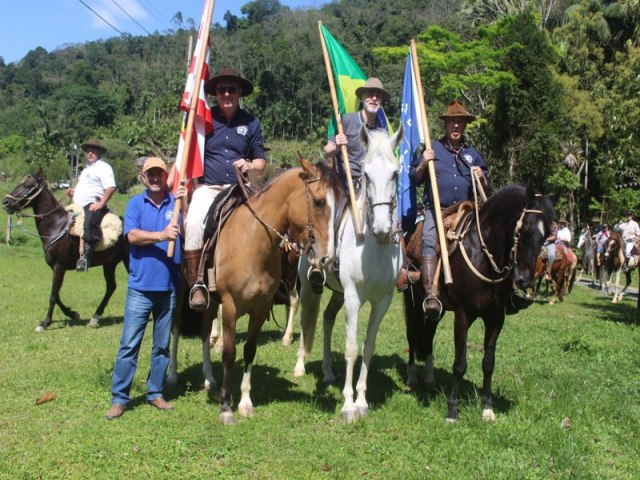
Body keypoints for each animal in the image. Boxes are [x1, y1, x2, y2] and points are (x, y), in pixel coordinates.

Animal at [2, 171, 129, 332]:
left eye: (28, 185)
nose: (6, 202)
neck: (56, 226)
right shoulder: (56, 268)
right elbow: (56, 294)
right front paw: (72, 313)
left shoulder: (59, 266)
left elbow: (53, 296)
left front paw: (45, 323)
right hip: (109, 264)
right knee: (111, 287)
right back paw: (95, 318)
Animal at [201, 158, 340, 424]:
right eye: (318, 202)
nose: (328, 258)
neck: (252, 241)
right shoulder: (229, 304)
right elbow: (229, 353)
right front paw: (225, 406)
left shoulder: (261, 307)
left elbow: (249, 351)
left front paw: (245, 402)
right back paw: (207, 378)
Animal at [292, 125, 402, 422]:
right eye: (365, 174)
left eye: (395, 173)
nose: (381, 229)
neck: (374, 246)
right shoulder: (353, 297)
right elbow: (352, 349)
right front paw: (349, 405)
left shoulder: (382, 301)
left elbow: (368, 346)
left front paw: (362, 401)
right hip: (309, 289)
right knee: (305, 322)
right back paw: (299, 366)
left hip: (338, 294)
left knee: (328, 319)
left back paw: (329, 373)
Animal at [402, 186, 552, 422]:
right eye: (524, 230)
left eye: (546, 234)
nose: (524, 281)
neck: (483, 257)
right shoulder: (463, 315)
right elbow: (460, 363)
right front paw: (452, 410)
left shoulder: (496, 318)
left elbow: (489, 363)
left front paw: (488, 408)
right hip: (413, 301)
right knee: (412, 334)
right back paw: (411, 377)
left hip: (437, 309)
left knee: (428, 335)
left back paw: (429, 378)